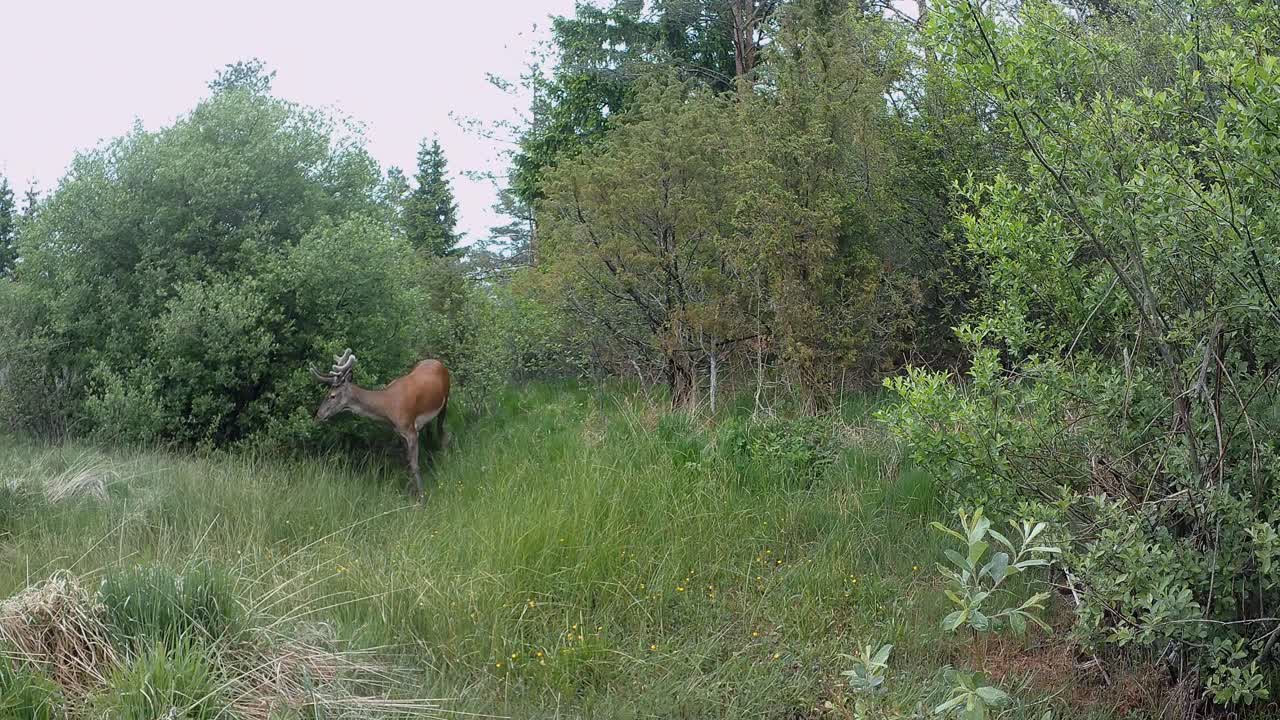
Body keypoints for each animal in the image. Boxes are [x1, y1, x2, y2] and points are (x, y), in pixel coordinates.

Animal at [311, 349, 451, 500]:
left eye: (332, 395)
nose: (318, 415)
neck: (388, 407)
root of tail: (438, 362)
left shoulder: (410, 429)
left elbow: (414, 465)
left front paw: (421, 497)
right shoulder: (399, 431)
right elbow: (407, 462)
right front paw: (411, 491)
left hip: (446, 399)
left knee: (442, 431)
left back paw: (444, 455)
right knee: (430, 431)